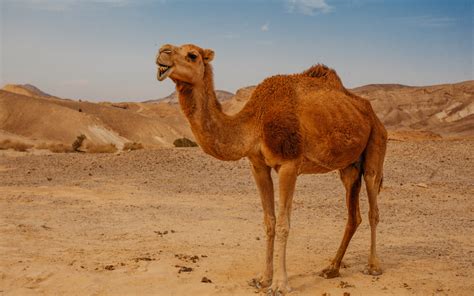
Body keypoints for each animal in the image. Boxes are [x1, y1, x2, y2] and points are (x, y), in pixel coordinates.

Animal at [157, 43, 386, 294]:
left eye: (192, 55)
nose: (162, 51)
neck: (255, 122)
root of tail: (371, 113)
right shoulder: (257, 165)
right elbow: (269, 221)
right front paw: (263, 278)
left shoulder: (289, 163)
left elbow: (284, 223)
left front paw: (280, 284)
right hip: (348, 167)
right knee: (353, 214)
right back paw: (332, 268)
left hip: (376, 143)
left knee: (373, 207)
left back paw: (373, 266)